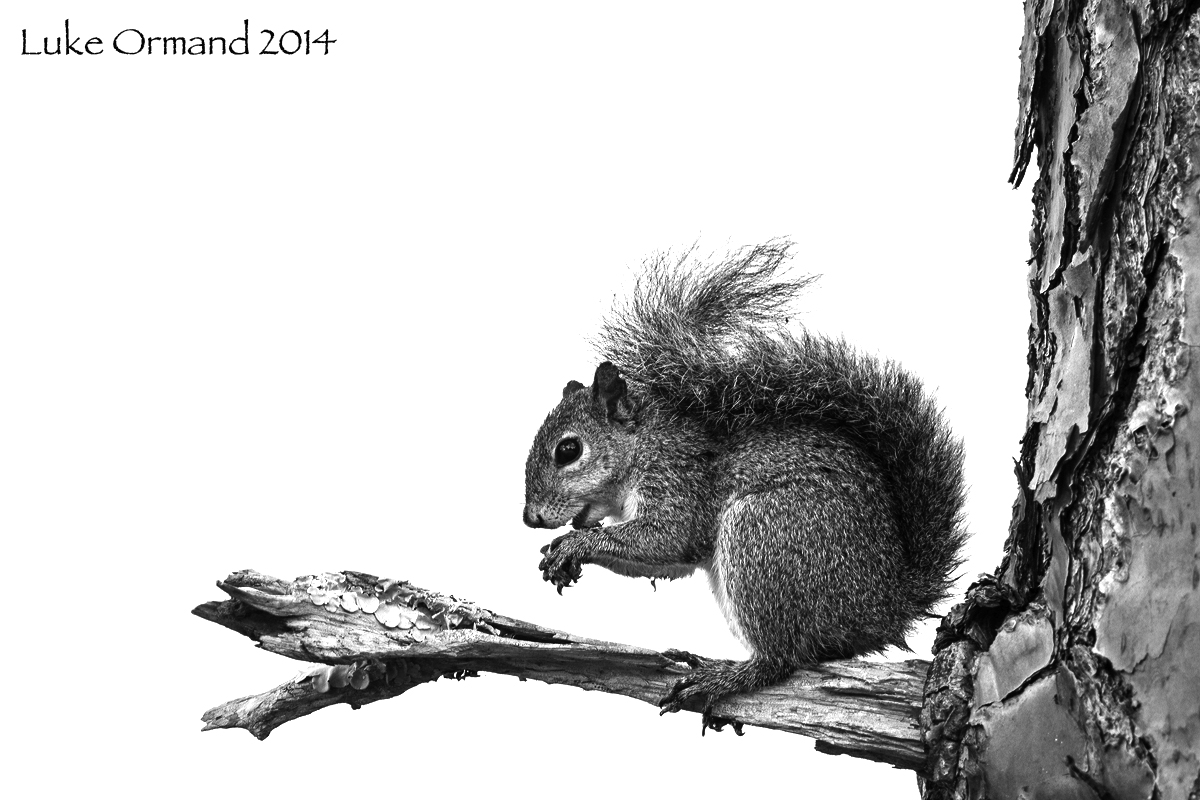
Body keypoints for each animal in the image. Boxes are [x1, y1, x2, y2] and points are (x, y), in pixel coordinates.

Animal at [522, 241, 967, 730]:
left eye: (568, 450)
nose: (529, 517)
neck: (644, 444)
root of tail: (887, 605)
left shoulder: (679, 479)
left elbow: (667, 539)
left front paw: (572, 545)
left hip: (764, 534)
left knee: (782, 658)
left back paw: (723, 676)